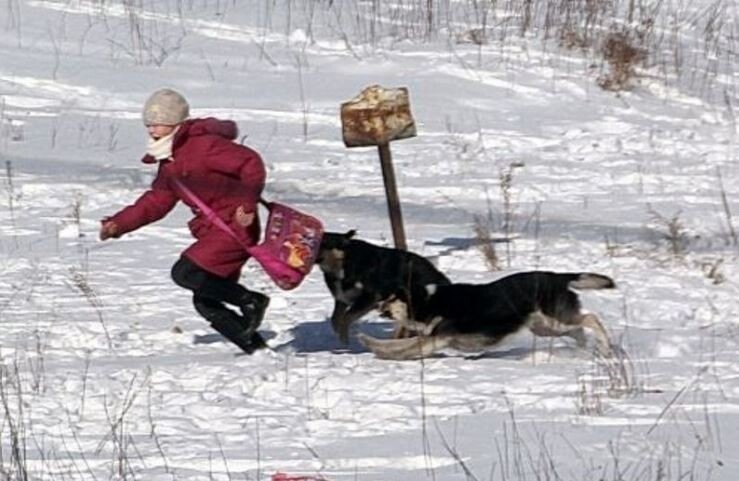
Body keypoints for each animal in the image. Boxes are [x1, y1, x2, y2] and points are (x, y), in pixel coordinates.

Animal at [316, 231, 448, 344]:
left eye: (324, 244)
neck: (345, 262)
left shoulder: (370, 297)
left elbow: (346, 317)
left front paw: (345, 341)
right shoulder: (342, 299)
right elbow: (335, 319)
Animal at [362, 270, 616, 360]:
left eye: (391, 297)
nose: (377, 303)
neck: (427, 301)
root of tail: (558, 277)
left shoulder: (438, 337)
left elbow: (405, 347)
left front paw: (382, 352)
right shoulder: (433, 336)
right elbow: (400, 343)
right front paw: (373, 345)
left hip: (555, 320)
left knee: (591, 319)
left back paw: (606, 348)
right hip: (545, 328)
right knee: (579, 330)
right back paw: (583, 350)